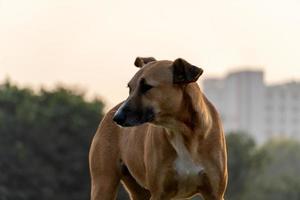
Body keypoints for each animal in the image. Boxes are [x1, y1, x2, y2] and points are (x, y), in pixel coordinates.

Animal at [89, 57, 227, 199]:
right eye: (130, 88)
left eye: (146, 87)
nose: (117, 117)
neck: (182, 131)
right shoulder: (159, 193)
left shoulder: (214, 194)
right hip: (103, 184)